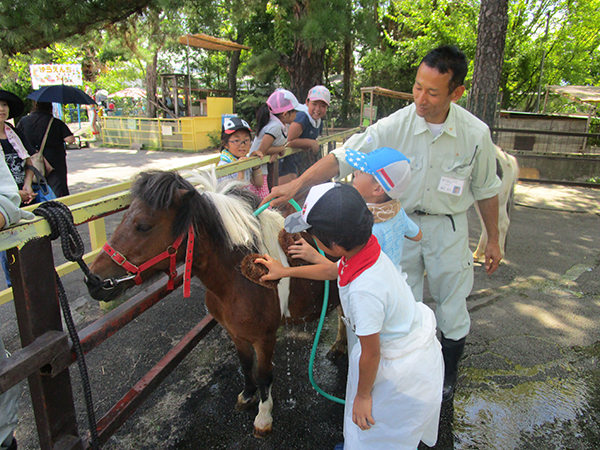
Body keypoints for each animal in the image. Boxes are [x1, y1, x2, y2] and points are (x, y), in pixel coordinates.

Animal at [86, 171, 344, 438]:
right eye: (124, 218)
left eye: (143, 226)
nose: (94, 280)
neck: (237, 280)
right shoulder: (236, 333)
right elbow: (246, 364)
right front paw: (247, 397)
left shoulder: (265, 338)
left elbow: (264, 376)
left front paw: (263, 418)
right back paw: (338, 348)